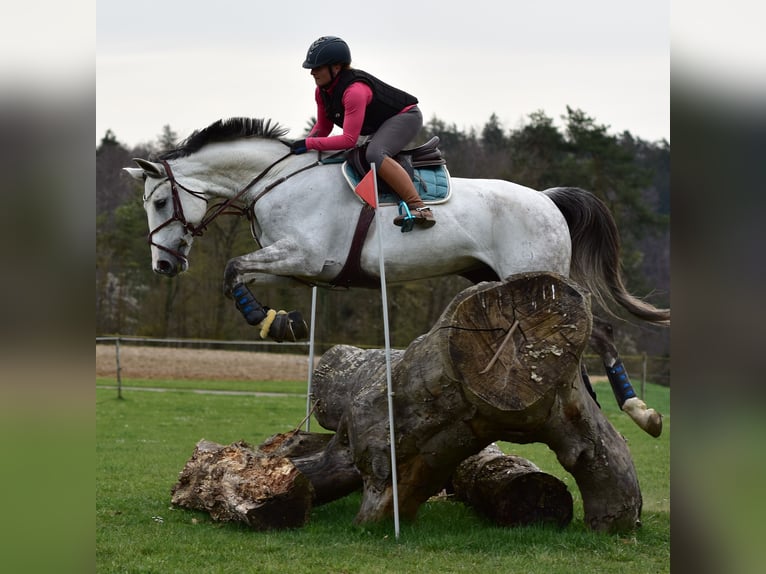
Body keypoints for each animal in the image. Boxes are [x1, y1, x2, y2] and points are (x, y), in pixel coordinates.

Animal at [123, 119, 668, 438]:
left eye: (160, 202)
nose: (164, 266)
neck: (276, 182)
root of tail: (548, 198)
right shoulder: (297, 263)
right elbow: (240, 273)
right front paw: (281, 321)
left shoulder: (304, 254)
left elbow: (233, 267)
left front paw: (272, 323)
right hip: (501, 278)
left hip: (536, 275)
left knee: (598, 330)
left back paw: (641, 411)